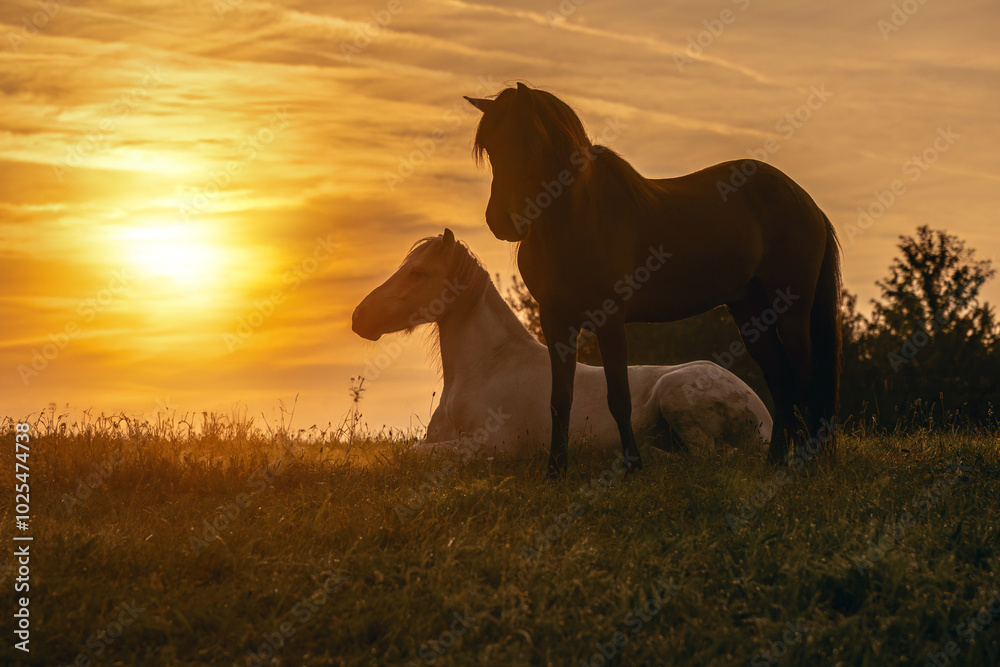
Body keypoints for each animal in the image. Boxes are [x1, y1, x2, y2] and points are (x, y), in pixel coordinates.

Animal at [352, 229, 772, 461]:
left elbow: (413, 456)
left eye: (418, 272)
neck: (486, 369)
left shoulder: (490, 448)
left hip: (677, 397)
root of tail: (762, 413)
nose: (359, 317)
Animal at [464, 83, 841, 476]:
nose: (503, 221)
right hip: (750, 311)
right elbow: (559, 399)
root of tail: (806, 201)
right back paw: (775, 463)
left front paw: (632, 466)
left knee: (803, 380)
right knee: (781, 381)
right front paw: (555, 471)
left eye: (532, 141)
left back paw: (804, 465)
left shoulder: (609, 318)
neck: (579, 217)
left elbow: (619, 397)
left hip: (792, 310)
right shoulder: (556, 320)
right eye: (489, 147)